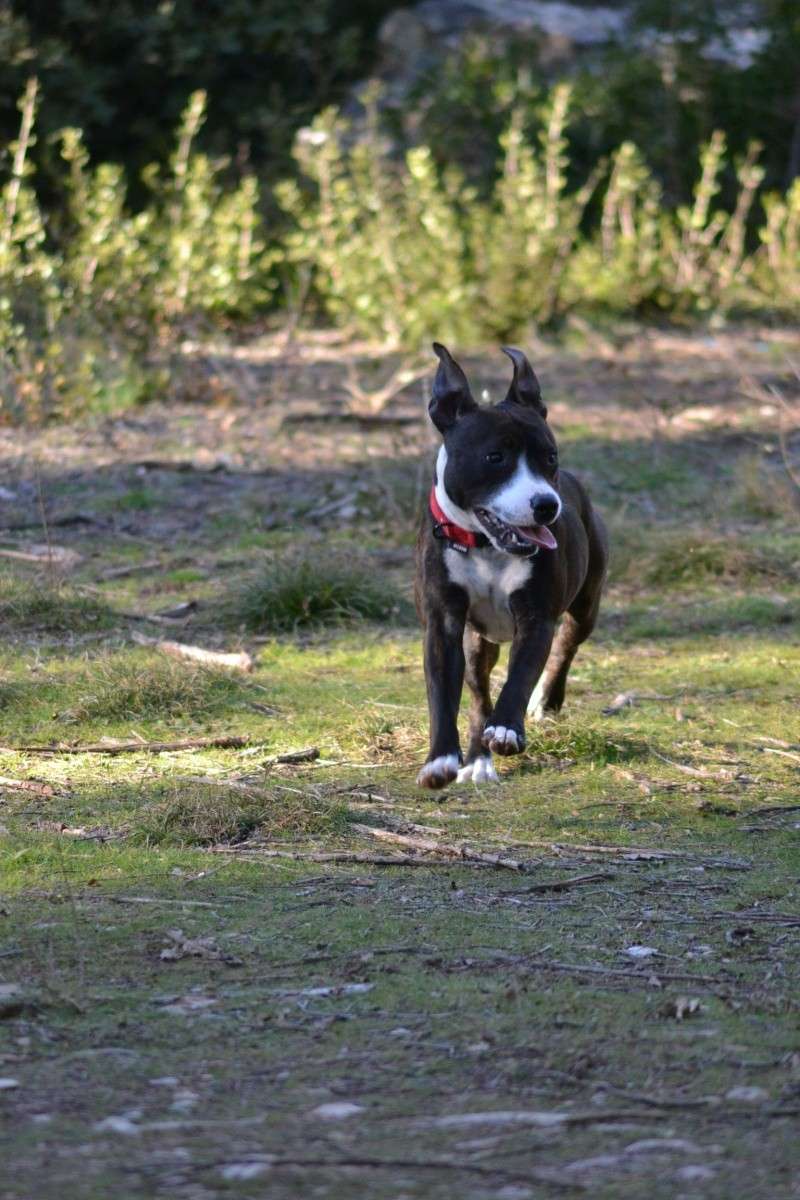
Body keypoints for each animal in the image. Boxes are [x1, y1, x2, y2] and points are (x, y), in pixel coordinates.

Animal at [412, 343, 606, 787]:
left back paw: (545, 701)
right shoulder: (444, 624)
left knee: (568, 643)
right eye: (494, 457)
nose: (546, 504)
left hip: (587, 604)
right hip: (477, 641)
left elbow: (521, 674)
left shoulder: (536, 618)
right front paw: (441, 759)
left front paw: (506, 729)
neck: (487, 547)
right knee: (478, 691)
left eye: (549, 457)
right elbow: (442, 692)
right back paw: (477, 759)